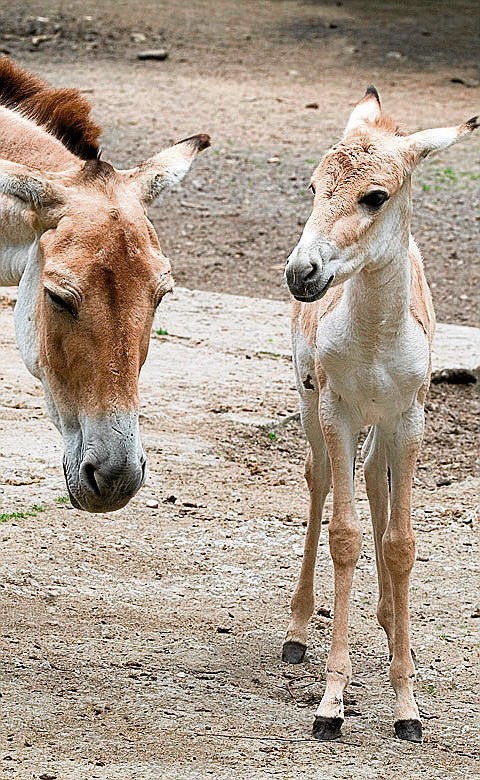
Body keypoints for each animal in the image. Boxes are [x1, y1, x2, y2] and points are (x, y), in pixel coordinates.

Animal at [284, 87, 478, 744]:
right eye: (314, 185)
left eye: (375, 195)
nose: (302, 273)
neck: (372, 341)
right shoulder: (338, 410)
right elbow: (345, 536)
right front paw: (331, 705)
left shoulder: (409, 418)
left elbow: (400, 542)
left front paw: (407, 707)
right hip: (310, 405)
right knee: (321, 481)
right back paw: (296, 634)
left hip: (385, 426)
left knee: (374, 479)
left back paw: (395, 627)